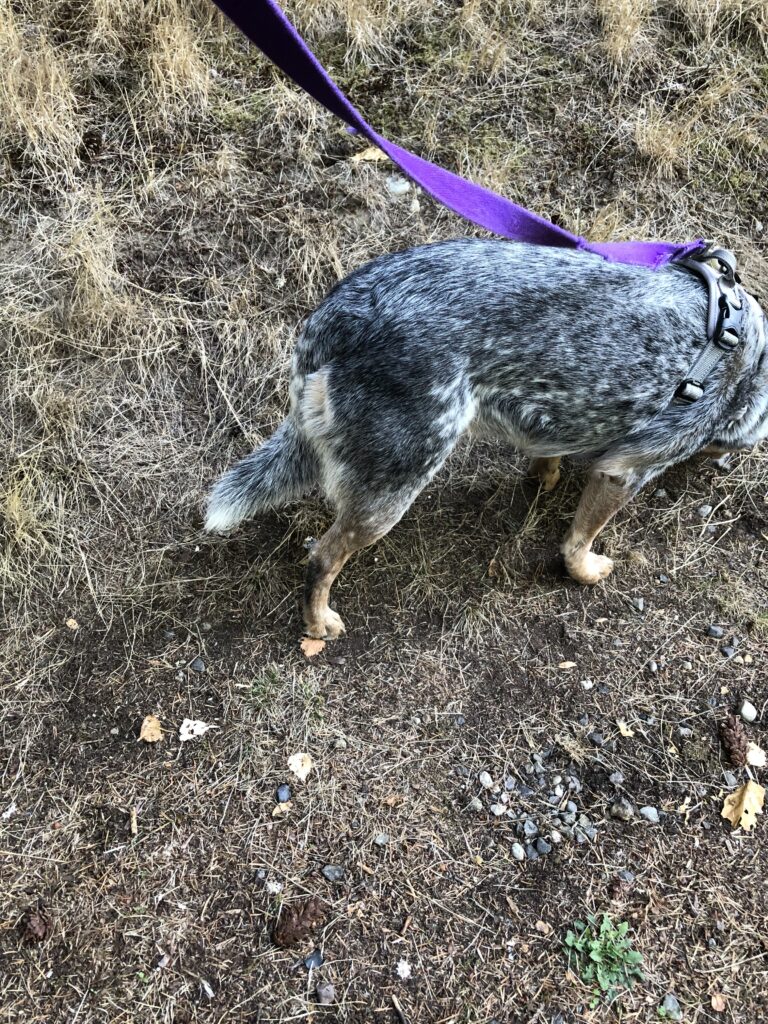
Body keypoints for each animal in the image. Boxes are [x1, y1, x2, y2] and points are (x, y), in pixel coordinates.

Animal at [204, 240, 768, 638]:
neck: (744, 352)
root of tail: (335, 316)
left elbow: (548, 455)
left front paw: (545, 476)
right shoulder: (624, 472)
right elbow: (578, 543)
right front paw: (586, 569)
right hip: (393, 490)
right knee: (321, 559)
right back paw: (318, 623)